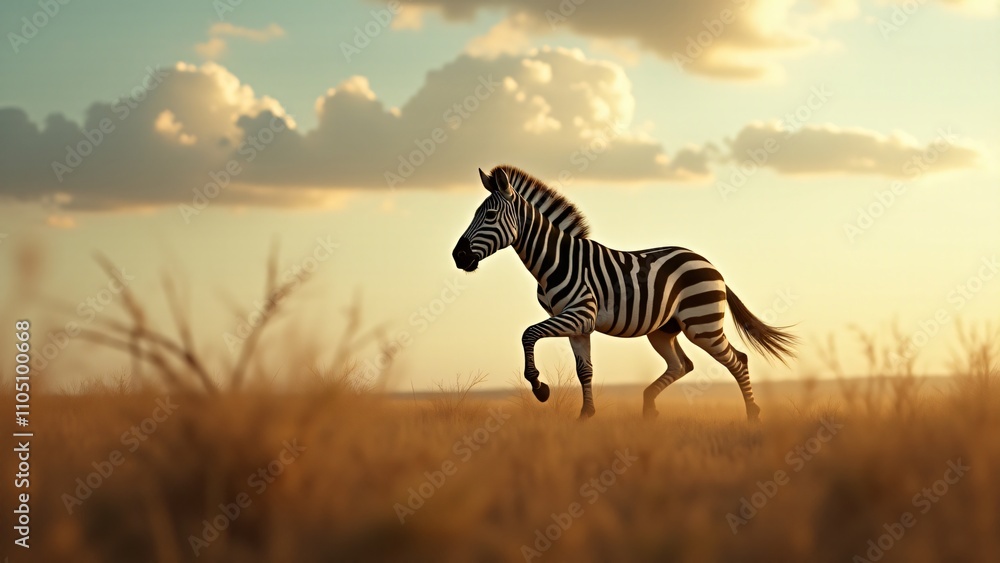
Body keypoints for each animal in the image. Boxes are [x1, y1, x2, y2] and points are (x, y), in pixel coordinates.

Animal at [451, 165, 797, 421]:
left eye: (490, 216)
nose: (458, 255)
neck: (556, 260)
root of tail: (710, 265)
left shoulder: (580, 314)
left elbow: (528, 333)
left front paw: (539, 387)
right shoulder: (578, 324)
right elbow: (584, 369)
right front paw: (586, 416)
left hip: (703, 324)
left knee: (737, 360)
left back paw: (752, 414)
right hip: (663, 329)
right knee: (682, 365)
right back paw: (648, 407)